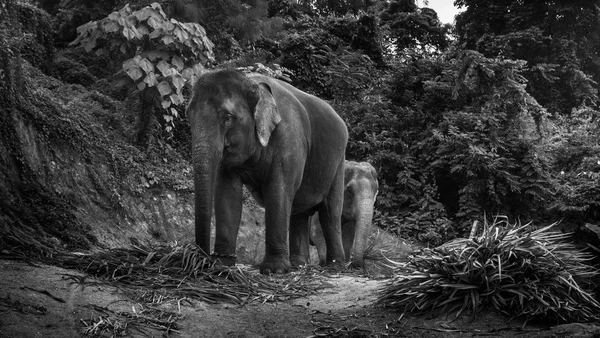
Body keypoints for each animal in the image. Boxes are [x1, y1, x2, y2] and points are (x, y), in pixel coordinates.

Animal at [186, 69, 346, 274]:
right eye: (189, 117)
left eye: (228, 117)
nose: (202, 260)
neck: (252, 83)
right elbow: (227, 194)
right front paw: (223, 265)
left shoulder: (290, 139)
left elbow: (278, 190)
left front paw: (274, 270)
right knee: (299, 211)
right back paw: (298, 265)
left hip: (338, 164)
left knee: (330, 213)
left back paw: (335, 267)